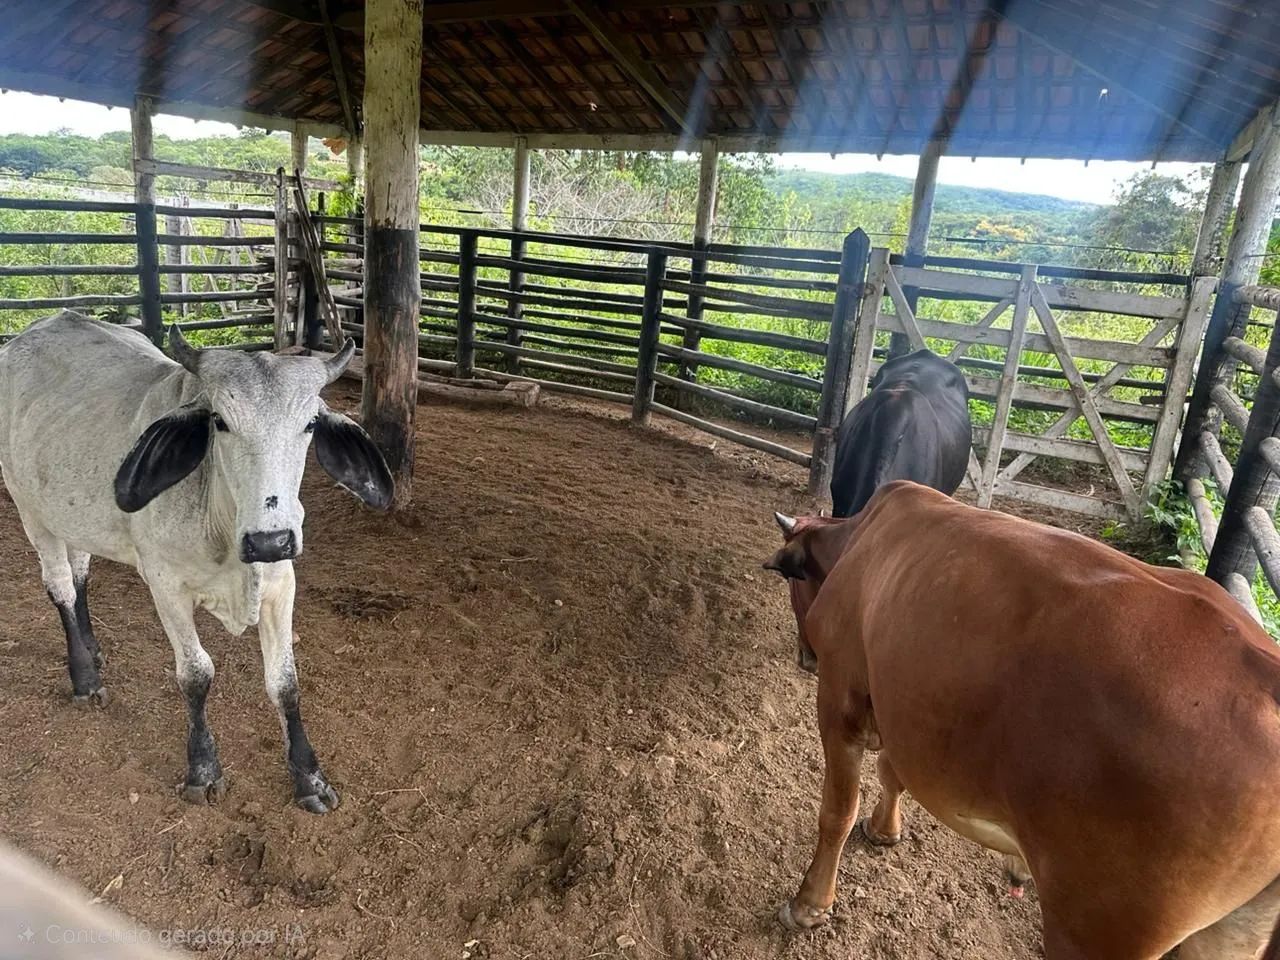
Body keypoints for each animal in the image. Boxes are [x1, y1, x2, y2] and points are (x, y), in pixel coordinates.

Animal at [0, 313, 393, 813]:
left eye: (309, 425)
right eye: (219, 422)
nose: (270, 539)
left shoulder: (281, 583)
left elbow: (285, 681)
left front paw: (310, 778)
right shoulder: (165, 585)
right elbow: (196, 674)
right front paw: (203, 769)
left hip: (74, 514)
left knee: (81, 571)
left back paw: (92, 649)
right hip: (30, 509)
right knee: (61, 587)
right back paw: (85, 677)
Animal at [764, 481, 1280, 960]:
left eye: (794, 582)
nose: (805, 656)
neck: (861, 540)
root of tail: (1265, 671)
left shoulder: (841, 697)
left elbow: (837, 812)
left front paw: (809, 904)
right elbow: (893, 774)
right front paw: (885, 830)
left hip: (1093, 926)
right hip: (1227, 933)